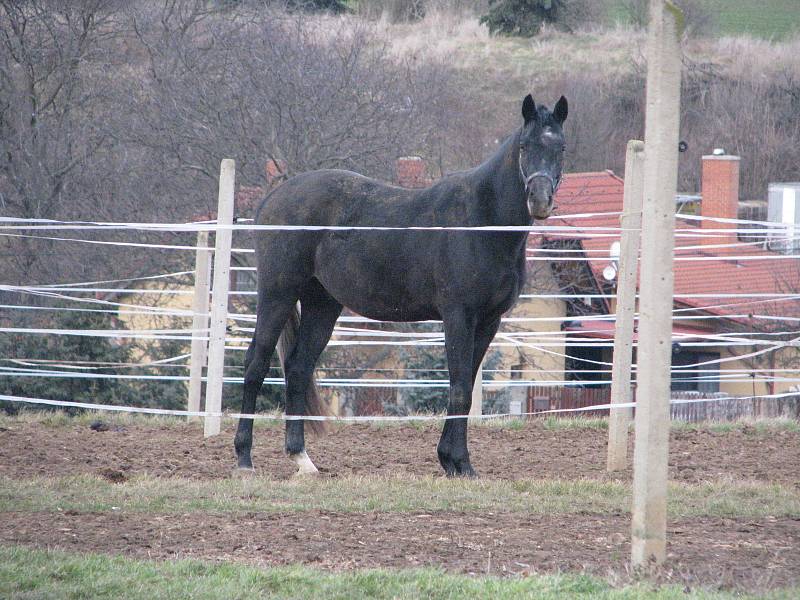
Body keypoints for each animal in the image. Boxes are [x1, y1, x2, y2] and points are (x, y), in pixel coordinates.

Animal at [238, 95, 568, 478]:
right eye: (524, 146)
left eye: (560, 147)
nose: (540, 200)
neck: (481, 222)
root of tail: (273, 198)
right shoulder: (458, 316)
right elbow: (459, 388)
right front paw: (459, 462)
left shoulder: (488, 321)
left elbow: (466, 386)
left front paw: (451, 461)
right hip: (277, 294)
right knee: (256, 364)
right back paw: (244, 459)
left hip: (323, 305)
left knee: (298, 368)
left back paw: (302, 458)